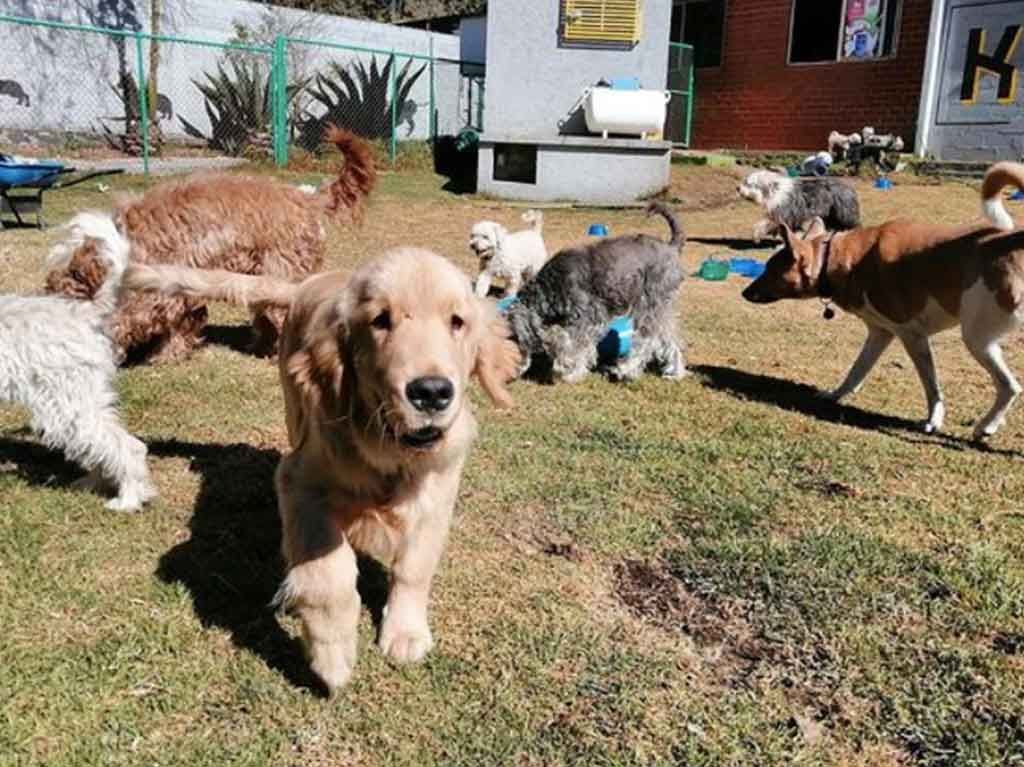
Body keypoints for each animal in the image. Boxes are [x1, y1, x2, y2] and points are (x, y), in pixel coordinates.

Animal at [0, 211, 155, 512]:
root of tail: (84, 313)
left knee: (126, 446)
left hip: (67, 406)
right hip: (85, 400)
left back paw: (128, 499)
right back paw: (92, 483)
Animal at [47, 128, 376, 362]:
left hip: (282, 274)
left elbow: (130, 320)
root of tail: (306, 197)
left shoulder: (152, 293)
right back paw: (262, 347)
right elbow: (183, 322)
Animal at [505, 201, 688, 382]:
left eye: (511, 338)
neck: (550, 287)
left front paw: (570, 372)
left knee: (647, 340)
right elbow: (561, 338)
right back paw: (675, 372)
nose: (511, 373)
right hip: (660, 309)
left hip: (649, 305)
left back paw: (625, 369)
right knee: (669, 337)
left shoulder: (588, 319)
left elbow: (576, 346)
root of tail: (671, 247)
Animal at [745, 161, 1024, 436]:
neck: (835, 259)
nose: (744, 293)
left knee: (1009, 386)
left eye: (768, 270)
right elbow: (857, 370)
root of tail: (1013, 240)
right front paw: (836, 394)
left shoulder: (912, 336)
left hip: (977, 338)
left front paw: (934, 419)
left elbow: (931, 385)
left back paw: (986, 426)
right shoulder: (880, 333)